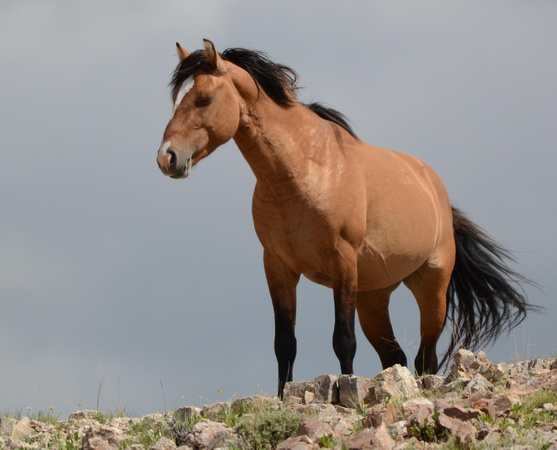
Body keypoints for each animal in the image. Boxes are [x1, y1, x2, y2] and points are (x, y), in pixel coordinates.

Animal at [154, 38, 536, 398]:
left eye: (203, 98)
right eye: (176, 100)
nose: (166, 157)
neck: (301, 172)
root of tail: (433, 186)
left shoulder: (342, 262)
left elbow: (343, 340)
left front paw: (344, 388)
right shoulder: (278, 267)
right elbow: (285, 344)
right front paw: (283, 397)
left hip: (431, 285)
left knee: (425, 357)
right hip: (373, 298)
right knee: (394, 356)